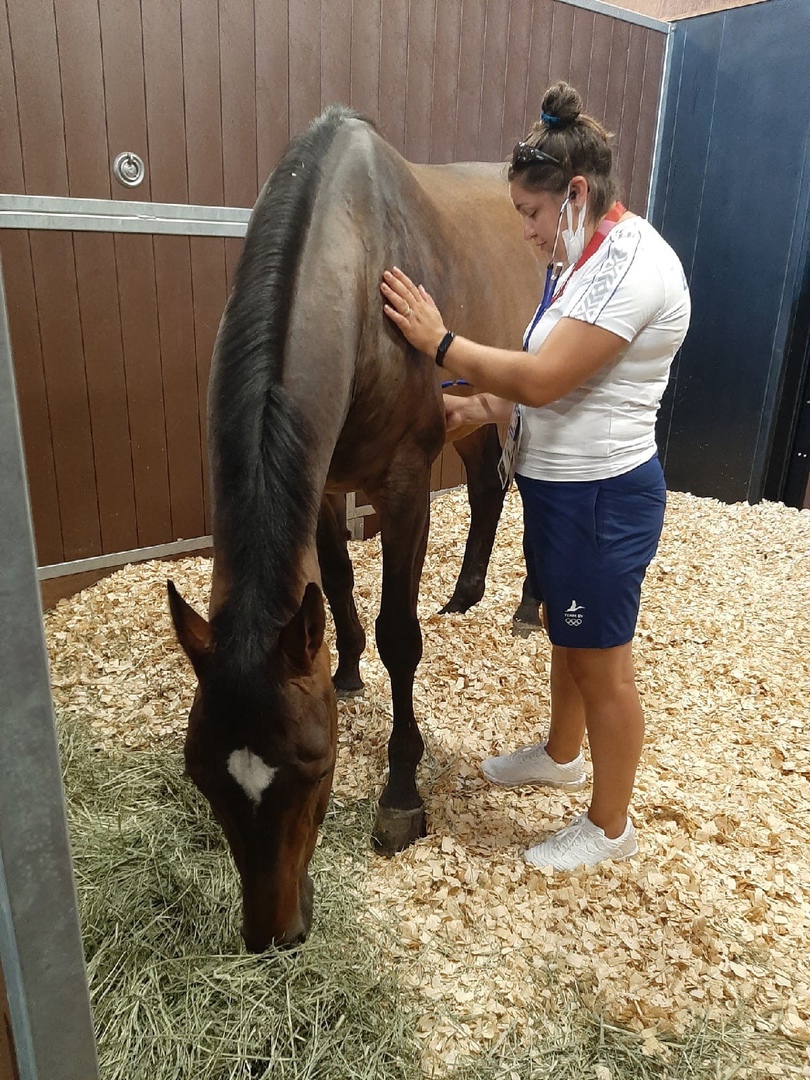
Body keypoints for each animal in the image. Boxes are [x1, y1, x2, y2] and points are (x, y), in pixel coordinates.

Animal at [171, 103, 548, 946]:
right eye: (201, 776)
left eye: (318, 771)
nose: (274, 934)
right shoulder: (319, 482)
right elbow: (336, 583)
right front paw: (343, 670)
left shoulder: (403, 488)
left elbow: (399, 634)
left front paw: (401, 796)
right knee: (487, 486)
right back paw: (467, 592)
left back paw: (528, 605)